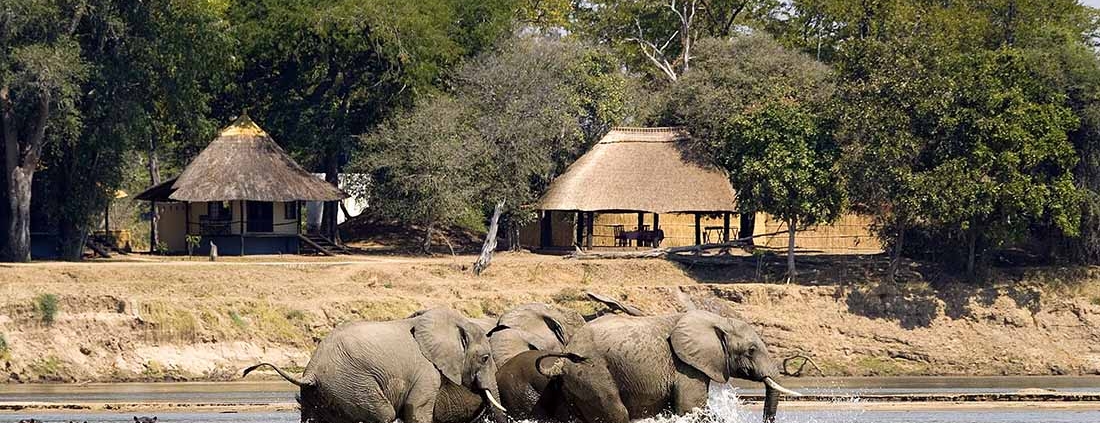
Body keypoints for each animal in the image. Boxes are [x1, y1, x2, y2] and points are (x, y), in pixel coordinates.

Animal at [243, 307, 503, 421]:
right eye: (485, 358)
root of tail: (311, 372)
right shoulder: (427, 372)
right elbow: (416, 411)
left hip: (322, 393)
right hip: (352, 385)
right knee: (384, 415)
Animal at [550, 307, 800, 421]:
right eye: (751, 350)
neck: (716, 320)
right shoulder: (685, 366)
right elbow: (690, 407)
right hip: (591, 373)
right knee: (616, 412)